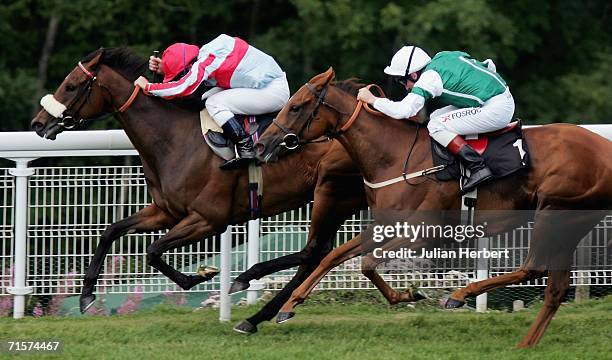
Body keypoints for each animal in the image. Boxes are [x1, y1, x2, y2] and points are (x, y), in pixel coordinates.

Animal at [28, 48, 424, 334]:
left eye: (72, 85)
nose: (38, 123)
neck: (175, 140)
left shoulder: (207, 219)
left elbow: (154, 251)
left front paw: (199, 276)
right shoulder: (166, 211)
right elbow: (112, 231)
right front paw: (86, 297)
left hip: (331, 189)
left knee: (314, 250)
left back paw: (250, 290)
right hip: (343, 198)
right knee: (317, 254)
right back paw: (259, 315)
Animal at [256, 68, 612, 348]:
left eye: (296, 107)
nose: (261, 144)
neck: (396, 156)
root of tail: (604, 148)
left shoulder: (424, 232)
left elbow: (367, 263)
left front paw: (408, 295)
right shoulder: (385, 226)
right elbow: (336, 257)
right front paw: (290, 305)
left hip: (553, 212)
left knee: (533, 268)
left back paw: (459, 295)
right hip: (574, 222)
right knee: (555, 289)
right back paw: (525, 344)